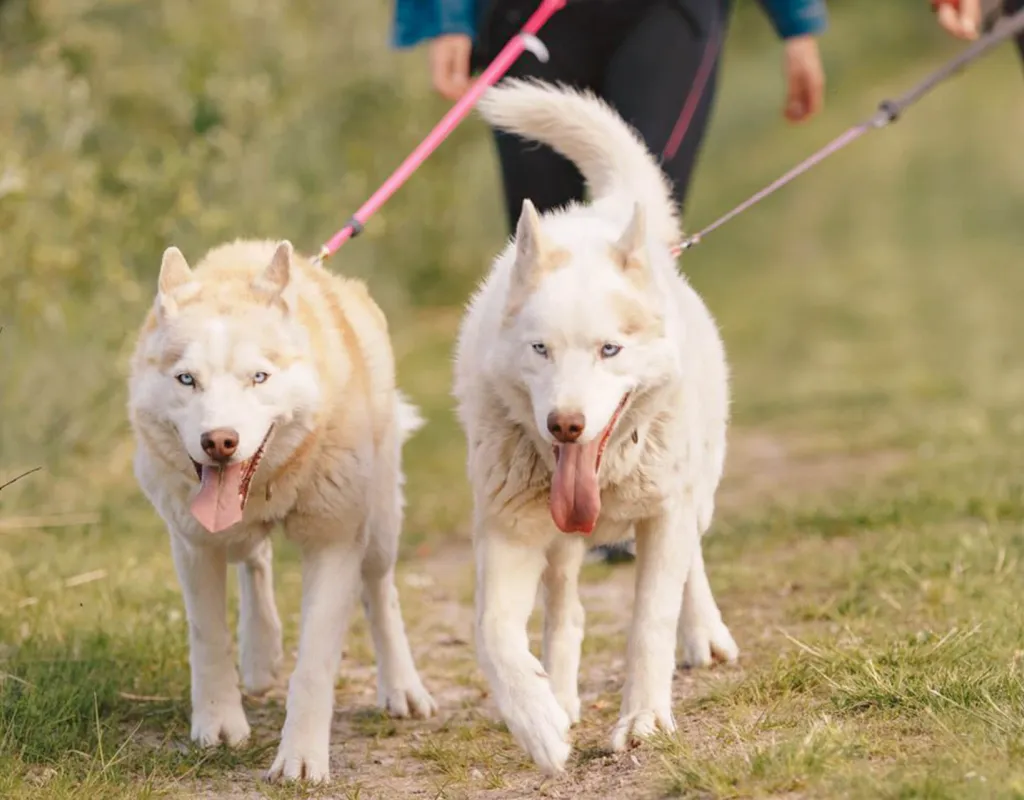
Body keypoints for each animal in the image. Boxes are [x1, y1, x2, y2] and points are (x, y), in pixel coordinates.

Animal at [128, 237, 436, 778]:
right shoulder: (193, 542)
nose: (220, 442)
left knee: (381, 591)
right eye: (187, 379)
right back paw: (259, 654)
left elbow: (313, 665)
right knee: (255, 557)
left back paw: (402, 687)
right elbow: (208, 637)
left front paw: (301, 759)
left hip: (378, 525)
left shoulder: (334, 543)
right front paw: (219, 722)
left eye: (259, 377)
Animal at [454, 77, 737, 770]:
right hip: (555, 541)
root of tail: (600, 214)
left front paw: (643, 720)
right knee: (564, 610)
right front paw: (537, 721)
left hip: (696, 496)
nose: (565, 426)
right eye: (540, 350)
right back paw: (559, 695)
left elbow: (649, 623)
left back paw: (704, 634)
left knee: (691, 568)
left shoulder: (665, 516)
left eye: (610, 349)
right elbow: (494, 633)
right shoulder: (506, 529)